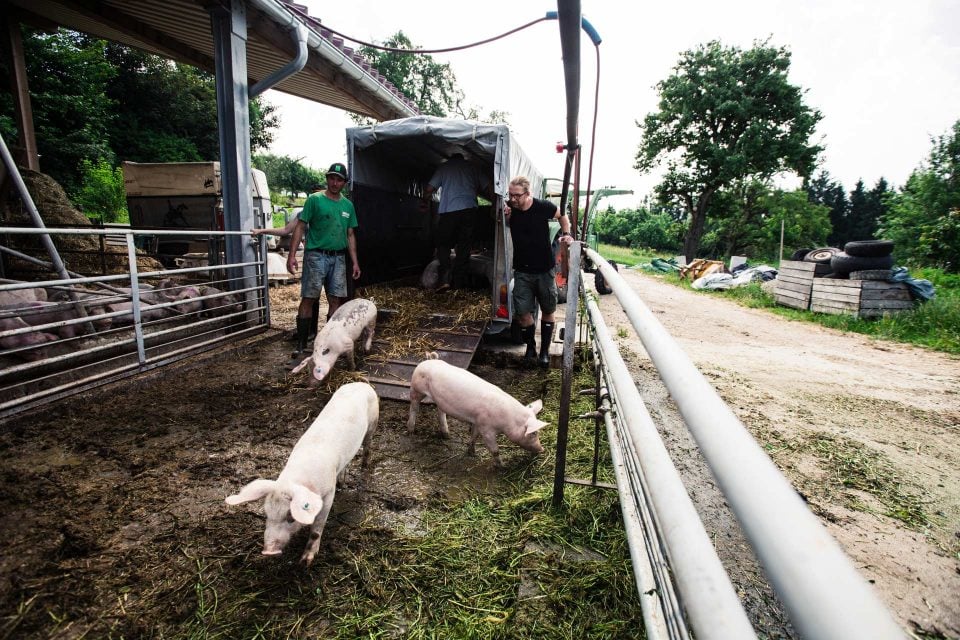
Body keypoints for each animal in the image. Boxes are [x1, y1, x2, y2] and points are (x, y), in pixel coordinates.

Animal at [225, 380, 378, 564]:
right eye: (267, 514)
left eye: (290, 517)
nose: (268, 551)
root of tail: (361, 383)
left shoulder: (328, 494)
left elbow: (317, 529)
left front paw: (305, 562)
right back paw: (342, 481)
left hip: (373, 422)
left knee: (368, 447)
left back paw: (364, 468)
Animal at [408, 356, 552, 464]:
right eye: (534, 433)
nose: (542, 449)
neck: (508, 420)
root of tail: (427, 361)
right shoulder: (487, 428)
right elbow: (494, 449)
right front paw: (501, 466)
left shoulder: (478, 421)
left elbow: (474, 436)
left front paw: (471, 453)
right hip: (416, 388)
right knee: (414, 407)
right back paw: (411, 431)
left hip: (439, 400)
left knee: (440, 411)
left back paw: (446, 435)